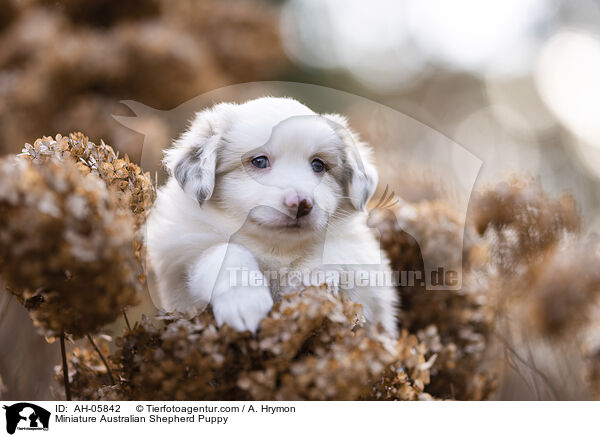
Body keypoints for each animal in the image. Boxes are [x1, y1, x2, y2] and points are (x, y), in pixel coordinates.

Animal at [145, 97, 398, 336]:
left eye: (318, 165)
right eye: (259, 161)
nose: (301, 203)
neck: (276, 248)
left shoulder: (358, 258)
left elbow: (331, 259)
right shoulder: (183, 252)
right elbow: (223, 252)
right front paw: (246, 304)